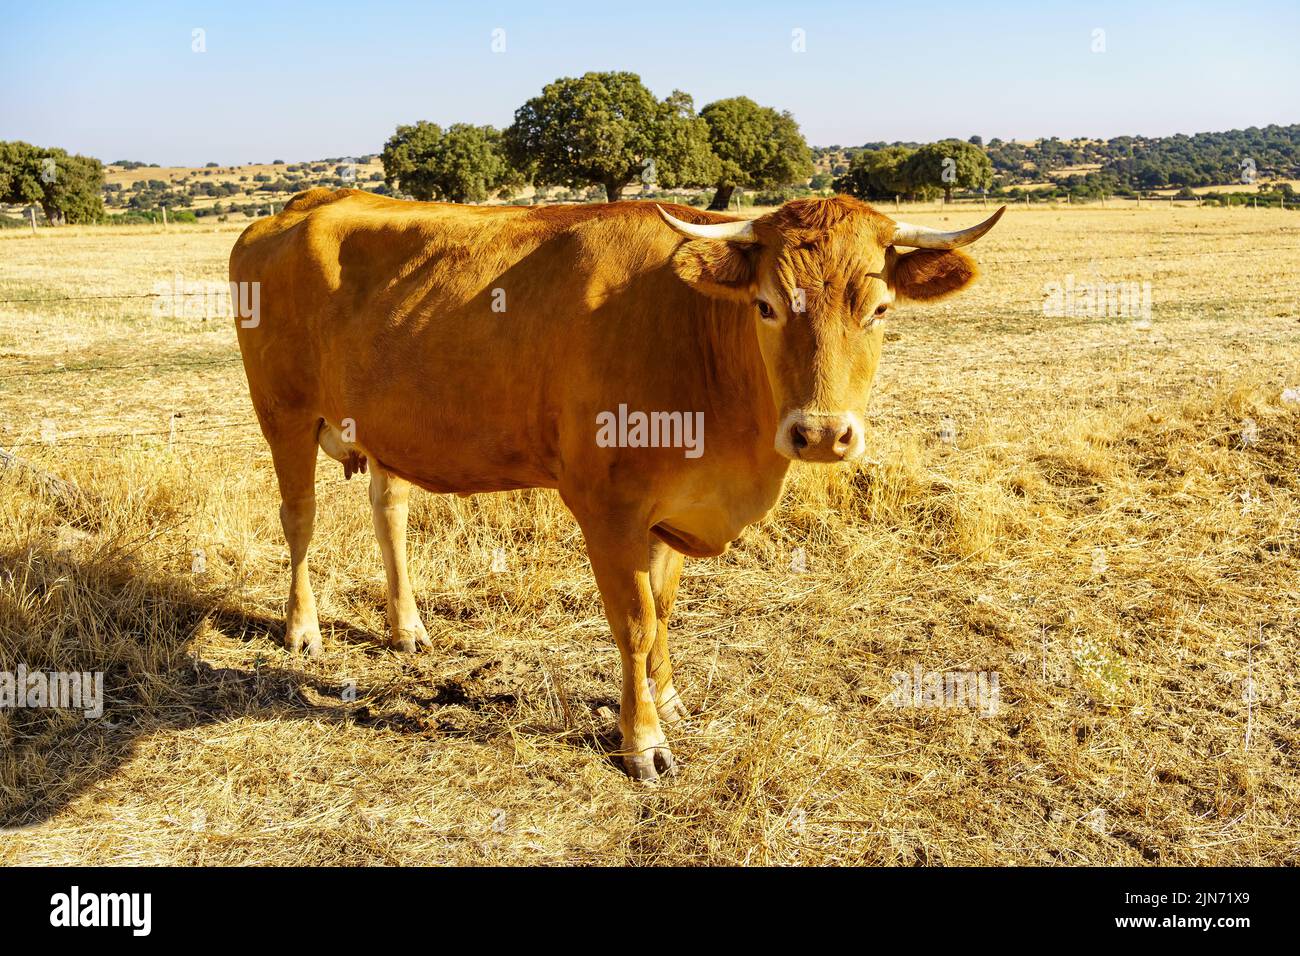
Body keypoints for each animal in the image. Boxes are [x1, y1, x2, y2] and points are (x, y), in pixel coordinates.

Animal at [230, 189, 1003, 780]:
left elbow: (661, 610)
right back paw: (303, 629)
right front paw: (644, 742)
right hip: (283, 414)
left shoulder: (670, 510)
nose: (820, 434)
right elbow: (633, 621)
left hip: (386, 432)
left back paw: (408, 628)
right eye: (766, 306)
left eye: (879, 310)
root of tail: (306, 202)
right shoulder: (606, 507)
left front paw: (669, 697)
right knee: (298, 518)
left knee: (387, 509)